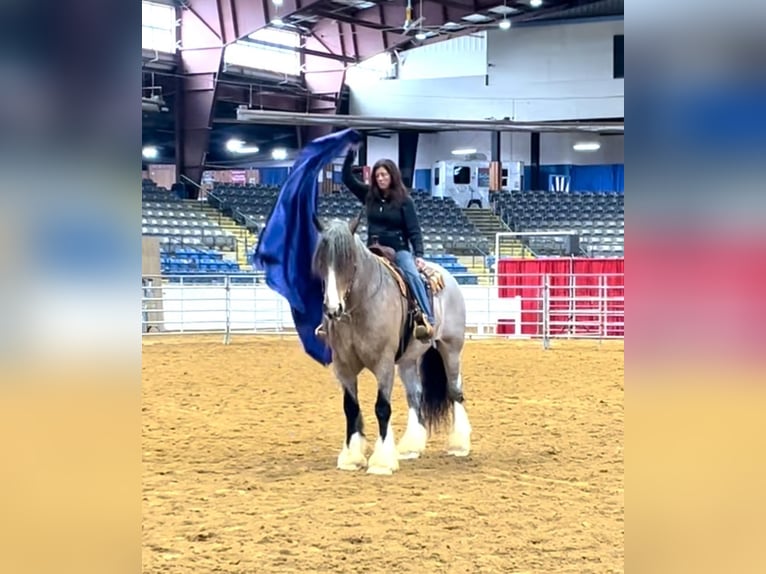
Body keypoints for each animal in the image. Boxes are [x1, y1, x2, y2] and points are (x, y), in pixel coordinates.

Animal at [312, 214, 474, 474]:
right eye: (321, 262)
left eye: (349, 262)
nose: (333, 309)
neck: (360, 307)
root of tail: (448, 277)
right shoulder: (343, 366)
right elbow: (350, 408)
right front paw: (351, 457)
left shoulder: (384, 364)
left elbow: (382, 407)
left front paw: (382, 461)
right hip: (408, 360)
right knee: (415, 395)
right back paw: (411, 447)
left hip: (451, 348)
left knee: (454, 390)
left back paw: (459, 445)